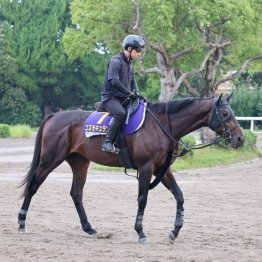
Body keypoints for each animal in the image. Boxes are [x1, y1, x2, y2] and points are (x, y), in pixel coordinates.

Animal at [17, 93, 244, 244]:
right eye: (225, 112)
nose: (240, 139)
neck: (162, 125)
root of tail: (55, 116)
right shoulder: (146, 168)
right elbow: (142, 199)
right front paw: (140, 232)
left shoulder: (161, 170)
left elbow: (179, 195)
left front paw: (175, 231)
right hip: (49, 161)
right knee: (33, 186)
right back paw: (21, 222)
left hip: (80, 163)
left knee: (76, 194)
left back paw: (90, 229)